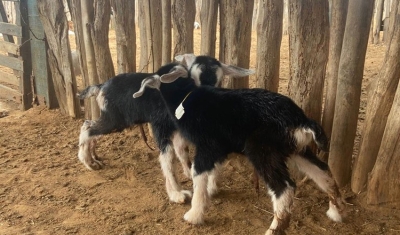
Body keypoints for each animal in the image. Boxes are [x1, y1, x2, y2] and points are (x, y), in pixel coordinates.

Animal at [77, 54, 253, 204]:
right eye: (192, 78)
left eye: (219, 80)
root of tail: (101, 87)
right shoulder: (160, 126)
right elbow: (168, 157)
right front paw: (177, 194)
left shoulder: (181, 131)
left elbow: (183, 151)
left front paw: (193, 176)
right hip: (115, 119)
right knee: (87, 128)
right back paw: (88, 162)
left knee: (90, 126)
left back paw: (94, 159)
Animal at [133, 64, 346, 235]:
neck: (185, 100)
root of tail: (301, 121)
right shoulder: (220, 149)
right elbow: (214, 169)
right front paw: (212, 190)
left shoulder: (207, 146)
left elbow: (198, 173)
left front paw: (194, 215)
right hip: (296, 149)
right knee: (323, 172)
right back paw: (335, 212)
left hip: (262, 150)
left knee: (284, 188)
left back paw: (273, 230)